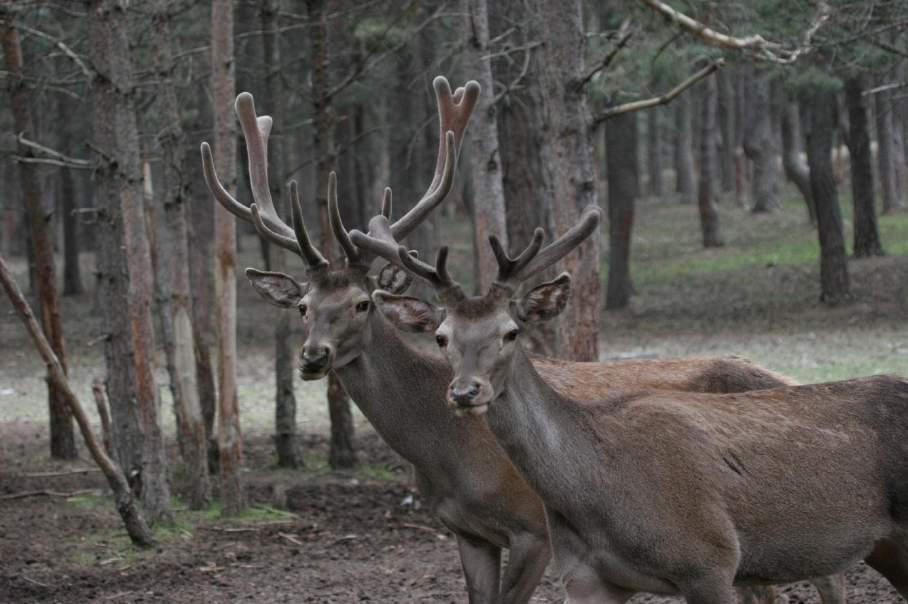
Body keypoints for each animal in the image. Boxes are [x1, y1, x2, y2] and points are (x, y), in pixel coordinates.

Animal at [200, 80, 852, 604]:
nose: (313, 357)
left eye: (362, 303)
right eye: (304, 307)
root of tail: (789, 378)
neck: (442, 456)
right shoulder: (465, 532)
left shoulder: (532, 528)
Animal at [362, 205, 908, 600]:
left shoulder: (710, 560)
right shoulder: (585, 578)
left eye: (510, 331)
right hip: (885, 545)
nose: (464, 392)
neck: (600, 494)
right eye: (441, 336)